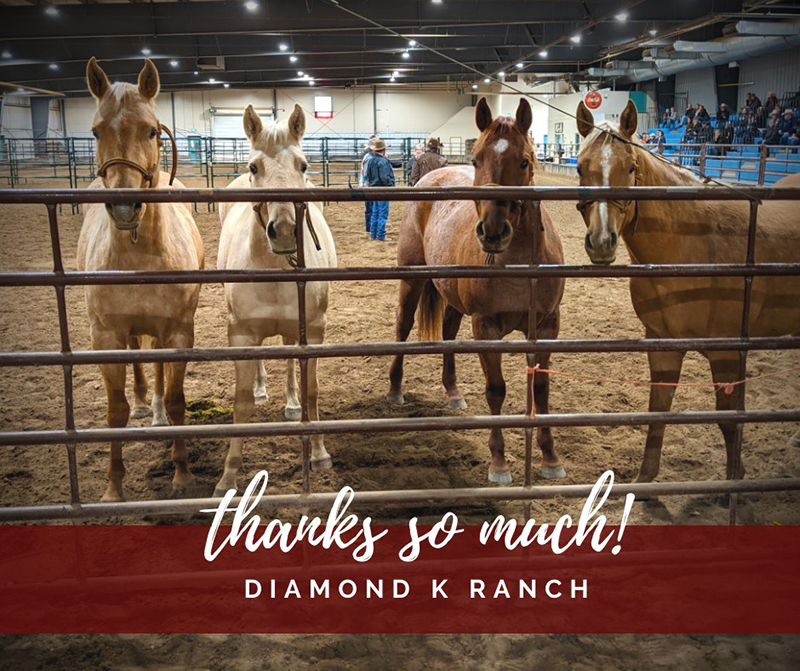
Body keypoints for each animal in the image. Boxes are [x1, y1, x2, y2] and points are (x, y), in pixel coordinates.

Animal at [77, 58, 204, 502]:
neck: (140, 252)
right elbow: (114, 410)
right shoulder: (105, 337)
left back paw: (159, 413)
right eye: (95, 131)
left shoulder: (180, 331)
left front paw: (181, 473)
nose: (124, 206)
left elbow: (178, 397)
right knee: (137, 357)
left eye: (151, 130)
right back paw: (142, 401)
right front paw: (113, 486)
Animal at [214, 104, 337, 496]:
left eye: (304, 164)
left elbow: (312, 390)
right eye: (254, 167)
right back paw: (263, 388)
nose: (283, 231)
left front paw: (319, 453)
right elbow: (241, 403)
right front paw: (228, 476)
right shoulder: (239, 334)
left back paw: (290, 402)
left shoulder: (313, 330)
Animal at [388, 97, 566, 485]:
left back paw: (453, 392)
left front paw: (549, 457)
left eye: (524, 161)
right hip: (411, 281)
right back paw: (394, 389)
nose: (492, 231)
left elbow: (541, 390)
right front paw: (498, 464)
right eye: (476, 160)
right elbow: (496, 389)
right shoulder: (486, 326)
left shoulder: (546, 326)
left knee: (448, 334)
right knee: (402, 328)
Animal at [574, 99, 800, 482]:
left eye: (631, 168)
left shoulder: (728, 353)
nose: (602, 242)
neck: (695, 238)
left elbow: (729, 419)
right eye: (579, 168)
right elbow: (658, 410)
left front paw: (734, 478)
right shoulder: (662, 344)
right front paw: (646, 479)